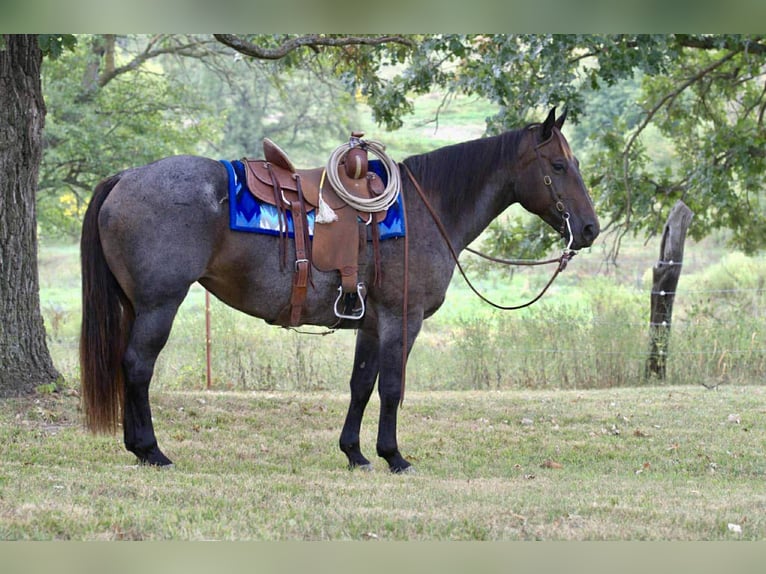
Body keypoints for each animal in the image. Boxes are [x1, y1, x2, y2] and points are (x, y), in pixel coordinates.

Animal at [79, 107, 599, 473]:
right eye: (558, 164)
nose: (590, 228)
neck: (423, 211)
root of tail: (126, 176)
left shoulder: (369, 323)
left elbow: (361, 385)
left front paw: (355, 453)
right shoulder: (402, 319)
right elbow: (392, 387)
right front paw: (394, 456)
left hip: (137, 305)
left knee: (129, 364)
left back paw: (137, 447)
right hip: (159, 304)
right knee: (138, 366)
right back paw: (150, 450)